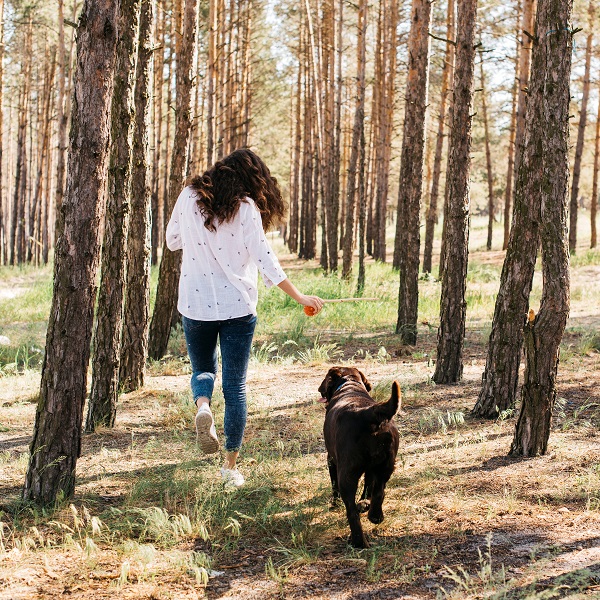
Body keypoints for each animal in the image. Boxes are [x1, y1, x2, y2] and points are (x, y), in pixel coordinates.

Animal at [318, 366, 398, 548]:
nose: (319, 390)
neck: (349, 385)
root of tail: (368, 413)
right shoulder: (371, 469)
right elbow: (369, 485)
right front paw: (365, 502)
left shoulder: (331, 459)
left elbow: (334, 486)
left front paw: (334, 504)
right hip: (387, 466)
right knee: (379, 491)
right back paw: (374, 515)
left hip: (346, 473)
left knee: (351, 511)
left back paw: (358, 541)